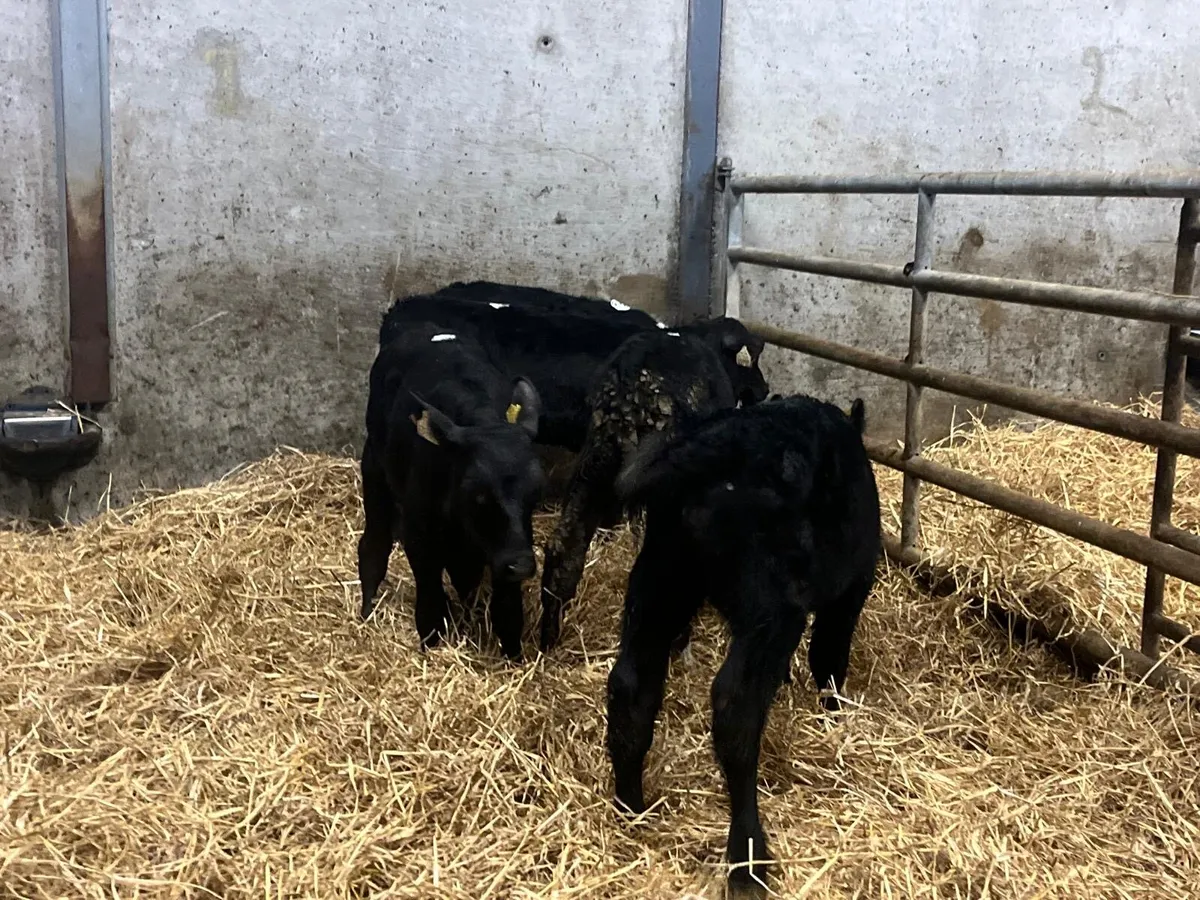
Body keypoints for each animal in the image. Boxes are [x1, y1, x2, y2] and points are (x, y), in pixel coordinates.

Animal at [357, 320, 545, 661]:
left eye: (536, 493)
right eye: (479, 492)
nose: (522, 565)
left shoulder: (504, 549)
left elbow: (507, 610)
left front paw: (513, 658)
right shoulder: (419, 538)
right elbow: (431, 604)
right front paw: (430, 648)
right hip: (374, 467)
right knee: (373, 547)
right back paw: (366, 613)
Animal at [604, 394, 881, 896]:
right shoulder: (851, 586)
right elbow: (829, 656)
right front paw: (833, 711)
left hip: (660, 582)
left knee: (631, 686)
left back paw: (631, 805)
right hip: (768, 609)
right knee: (736, 707)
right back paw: (749, 858)